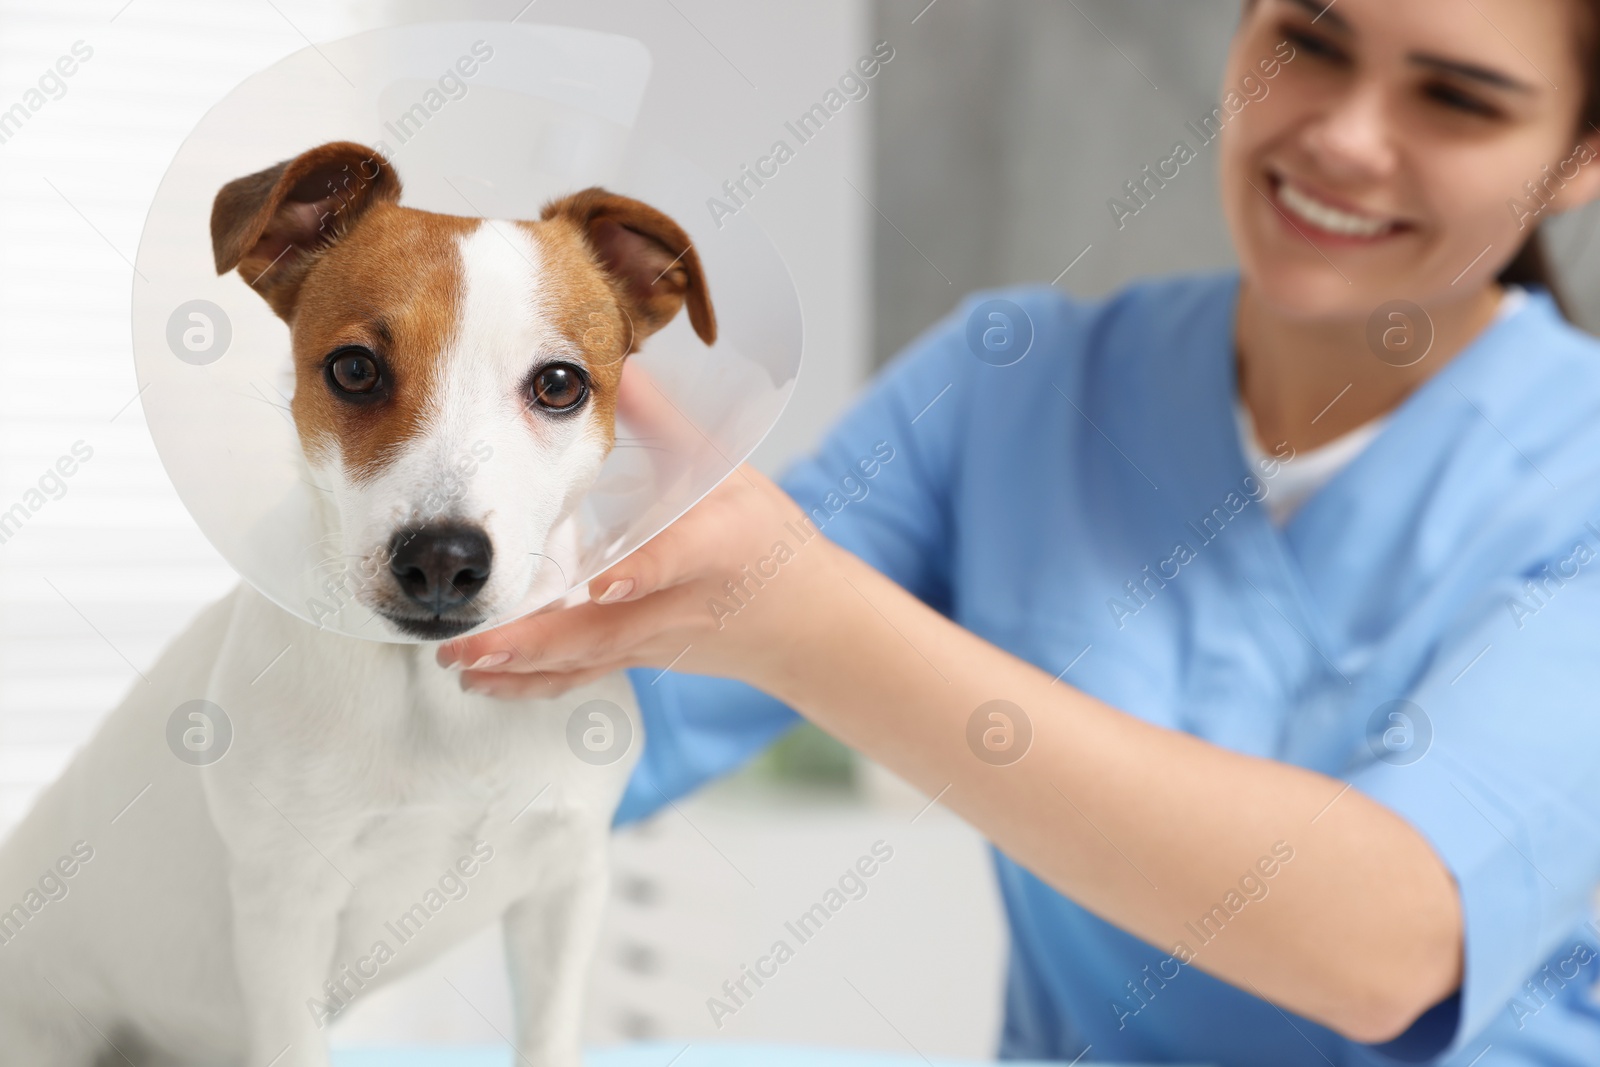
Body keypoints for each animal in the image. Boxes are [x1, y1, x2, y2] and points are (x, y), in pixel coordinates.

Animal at [0, 141, 716, 1067]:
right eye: (354, 368)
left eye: (560, 383)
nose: (442, 558)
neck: (431, 695)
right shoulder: (285, 918)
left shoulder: (565, 888)